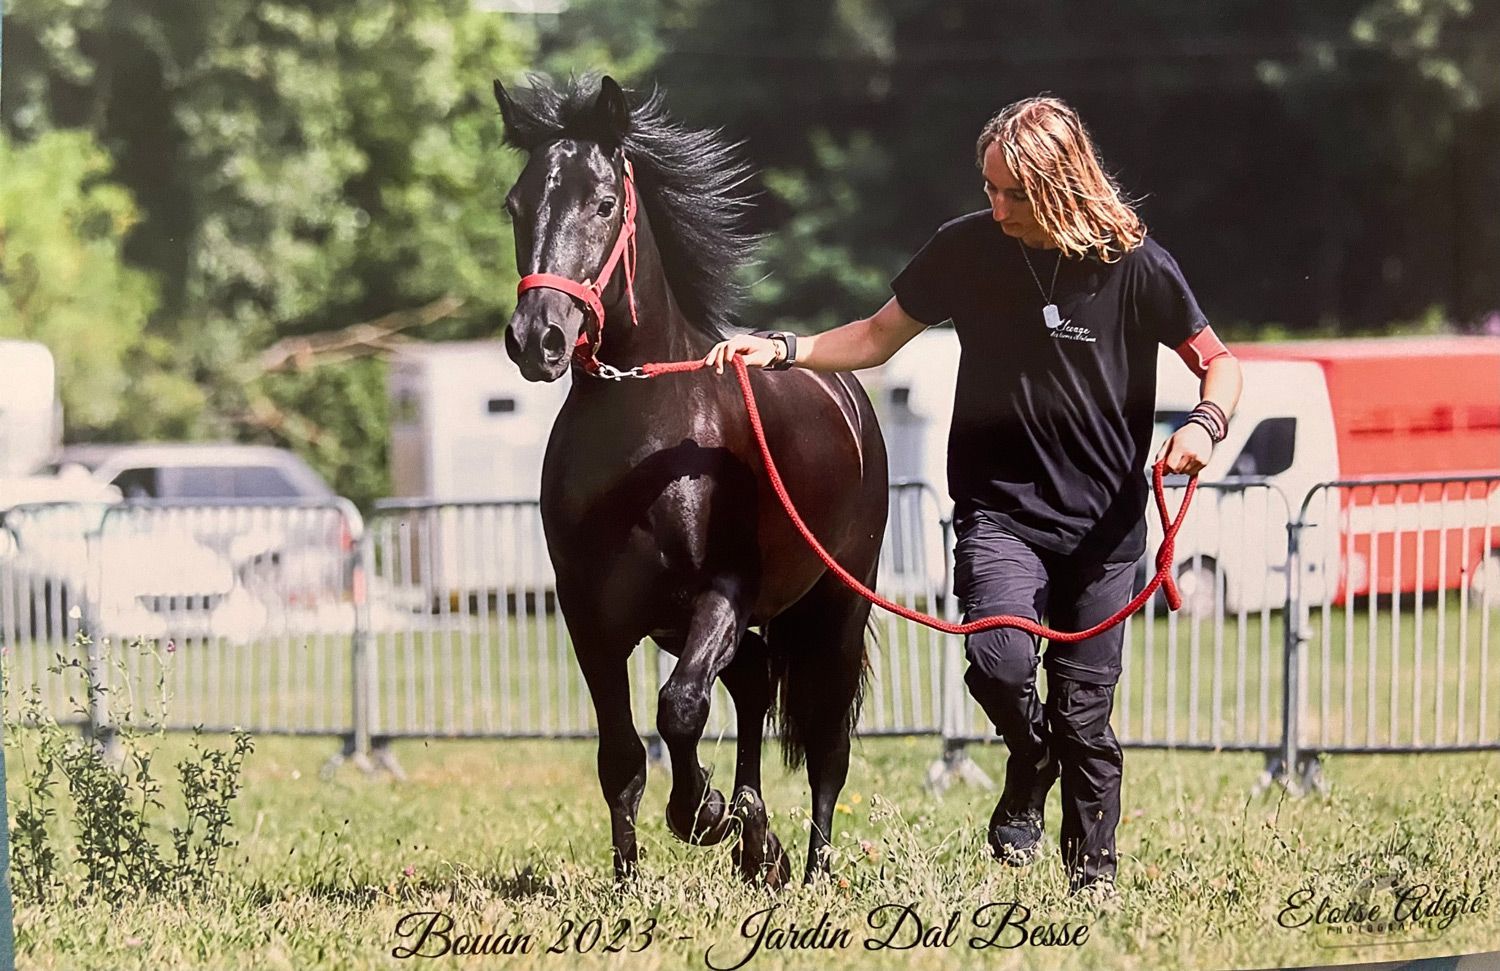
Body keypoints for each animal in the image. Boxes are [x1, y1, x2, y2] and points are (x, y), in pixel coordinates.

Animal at [495, 74, 888, 887]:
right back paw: (760, 843)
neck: (646, 442)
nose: (537, 339)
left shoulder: (722, 593)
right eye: (516, 203)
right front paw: (629, 878)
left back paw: (810, 867)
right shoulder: (591, 614)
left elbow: (678, 708)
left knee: (825, 741)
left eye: (603, 203)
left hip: (838, 603)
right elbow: (621, 753)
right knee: (754, 681)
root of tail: (849, 398)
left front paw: (702, 812)